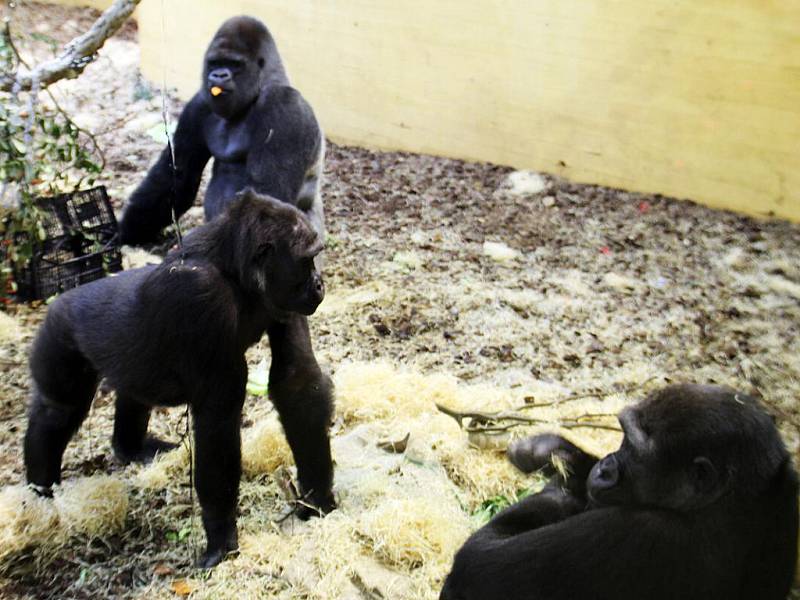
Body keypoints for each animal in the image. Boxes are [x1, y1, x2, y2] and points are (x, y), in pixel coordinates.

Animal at [22, 191, 334, 568]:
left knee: (130, 395)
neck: (235, 270)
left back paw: (130, 449)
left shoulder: (282, 302)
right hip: (59, 331)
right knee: (58, 410)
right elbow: (217, 420)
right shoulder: (200, 295)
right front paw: (222, 538)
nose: (319, 284)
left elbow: (296, 382)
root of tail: (57, 299)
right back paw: (40, 493)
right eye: (307, 261)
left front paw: (318, 497)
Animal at [117, 17, 324, 246]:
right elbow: (177, 177)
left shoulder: (284, 106)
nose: (218, 75)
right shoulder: (198, 106)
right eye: (215, 63)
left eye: (235, 64)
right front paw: (124, 232)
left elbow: (267, 195)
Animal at [440, 384, 796, 600]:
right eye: (622, 436)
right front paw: (550, 451)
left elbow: (481, 561)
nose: (606, 468)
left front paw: (558, 486)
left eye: (635, 451)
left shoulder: (637, 532)